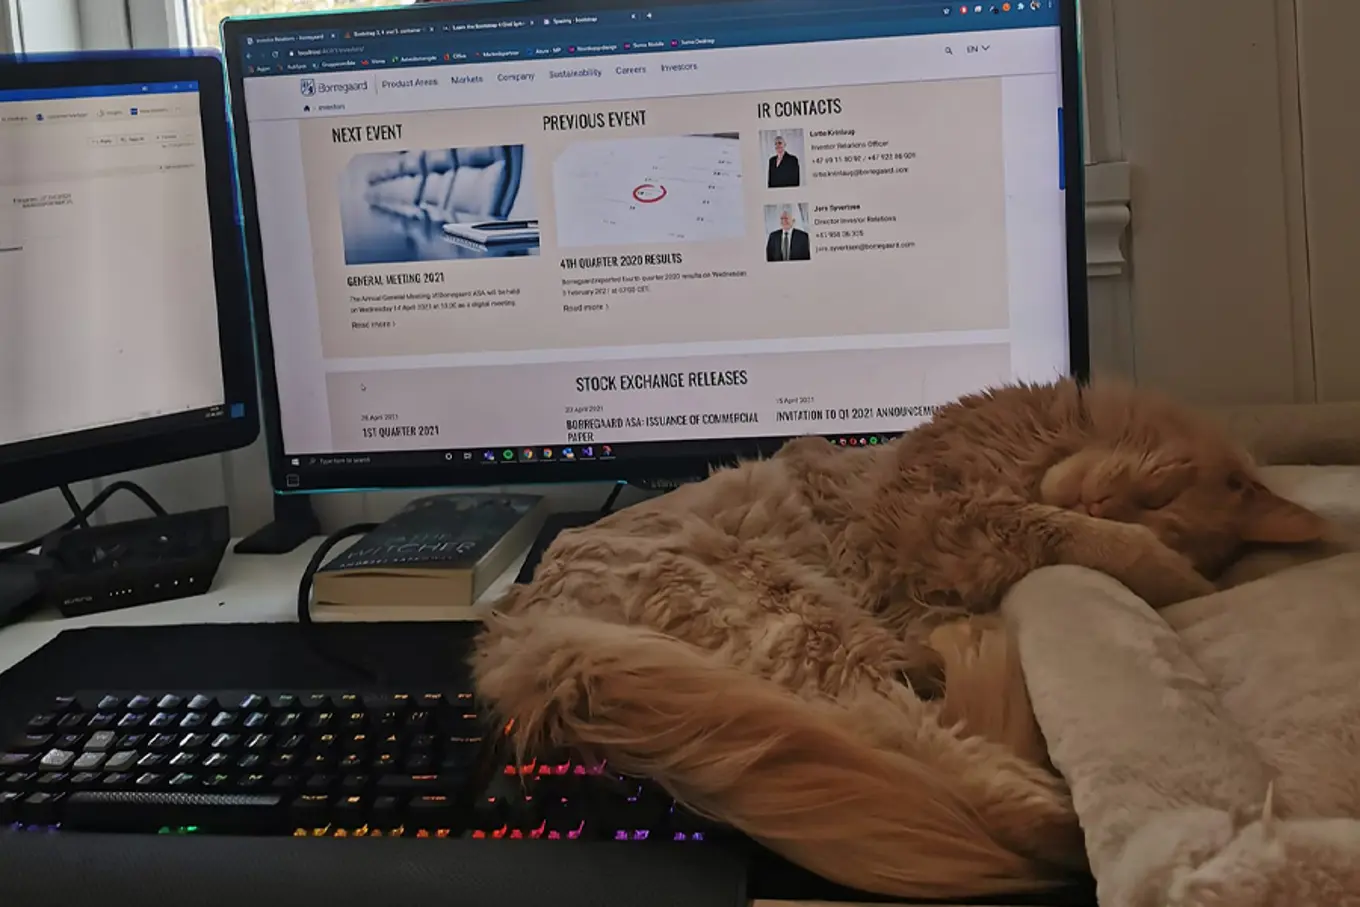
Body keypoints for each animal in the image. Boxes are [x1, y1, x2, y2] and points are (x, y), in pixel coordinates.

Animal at [470, 375, 1327, 902]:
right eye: (1154, 493)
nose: (1096, 496)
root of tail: (528, 635)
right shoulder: (949, 513)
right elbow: (1081, 537)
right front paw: (1176, 575)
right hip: (802, 622)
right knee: (974, 785)